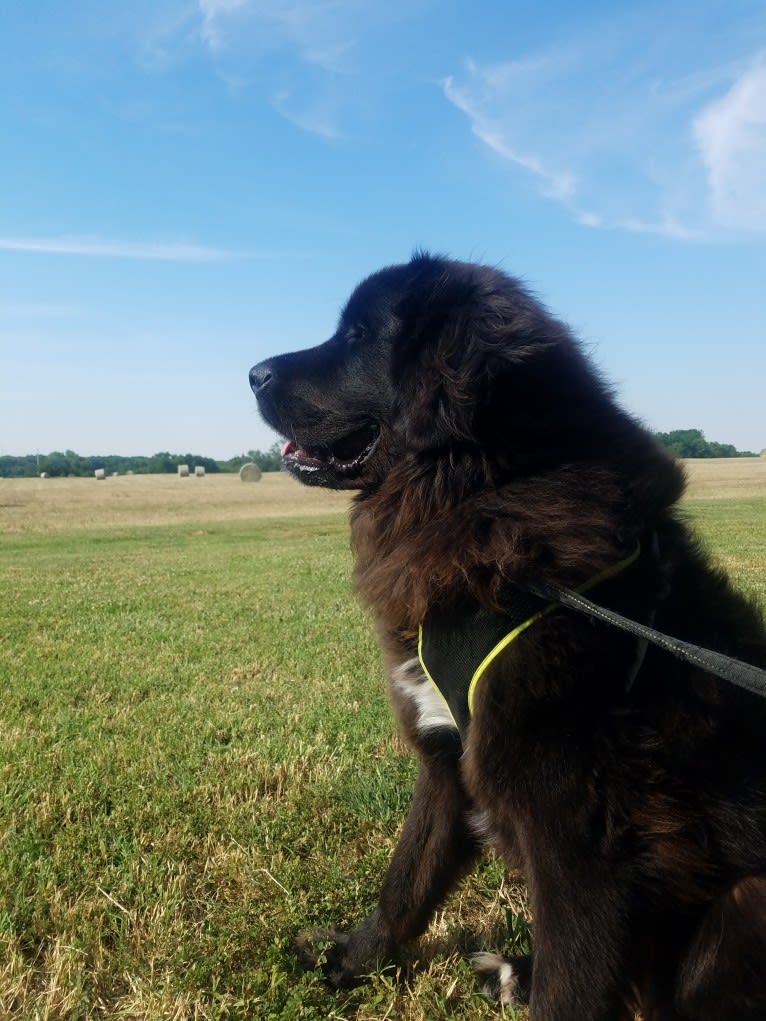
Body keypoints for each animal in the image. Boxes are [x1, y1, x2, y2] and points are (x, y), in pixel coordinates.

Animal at [252, 251, 766, 1016]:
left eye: (358, 335)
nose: (252, 373)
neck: (481, 492)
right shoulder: (446, 756)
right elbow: (406, 878)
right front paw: (351, 958)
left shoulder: (579, 835)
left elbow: (571, 986)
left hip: (744, 899)